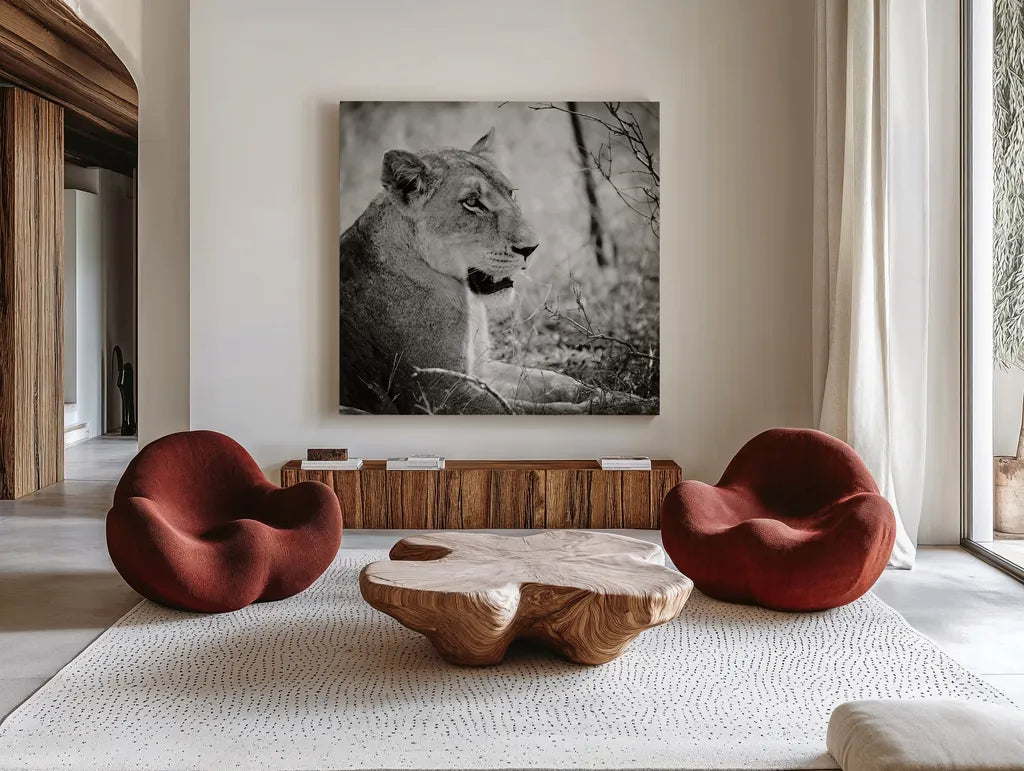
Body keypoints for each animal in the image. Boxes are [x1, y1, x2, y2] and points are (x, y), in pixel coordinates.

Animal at [339, 128, 642, 415]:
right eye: (472, 202)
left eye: (511, 193)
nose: (532, 248)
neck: (466, 298)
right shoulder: (440, 394)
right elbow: (533, 411)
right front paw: (621, 407)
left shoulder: (481, 368)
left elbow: (554, 379)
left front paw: (620, 397)